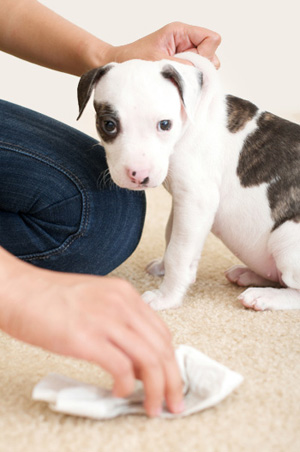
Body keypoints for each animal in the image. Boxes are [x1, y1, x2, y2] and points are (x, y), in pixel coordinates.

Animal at [77, 51, 300, 308]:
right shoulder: (182, 202)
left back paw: (264, 296)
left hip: (286, 239)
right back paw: (249, 275)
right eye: (109, 125)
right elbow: (172, 236)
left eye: (165, 124)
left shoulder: (196, 200)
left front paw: (167, 297)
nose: (139, 175)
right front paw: (167, 269)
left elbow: (178, 253)